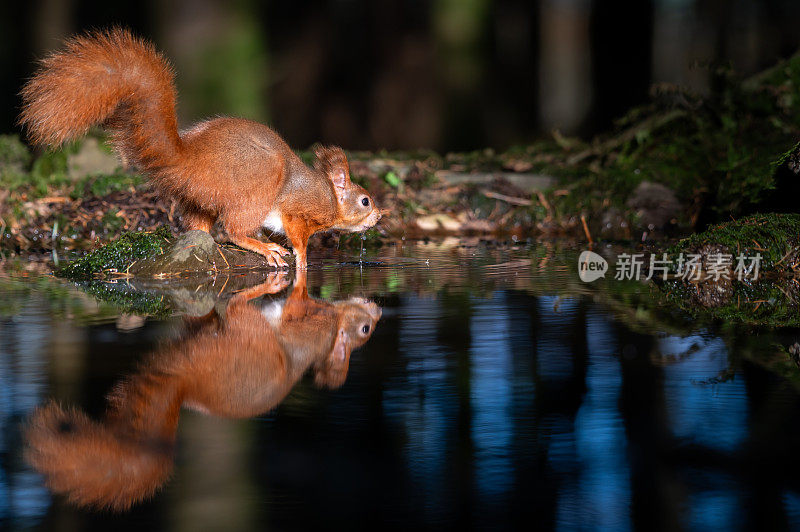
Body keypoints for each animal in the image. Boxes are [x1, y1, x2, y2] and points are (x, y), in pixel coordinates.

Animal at [18, 28, 382, 268]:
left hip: (197, 201)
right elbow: (298, 237)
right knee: (233, 230)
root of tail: (187, 160)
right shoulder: (298, 211)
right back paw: (264, 248)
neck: (328, 196)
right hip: (257, 185)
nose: (380, 216)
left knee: (200, 230)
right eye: (365, 200)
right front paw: (302, 259)